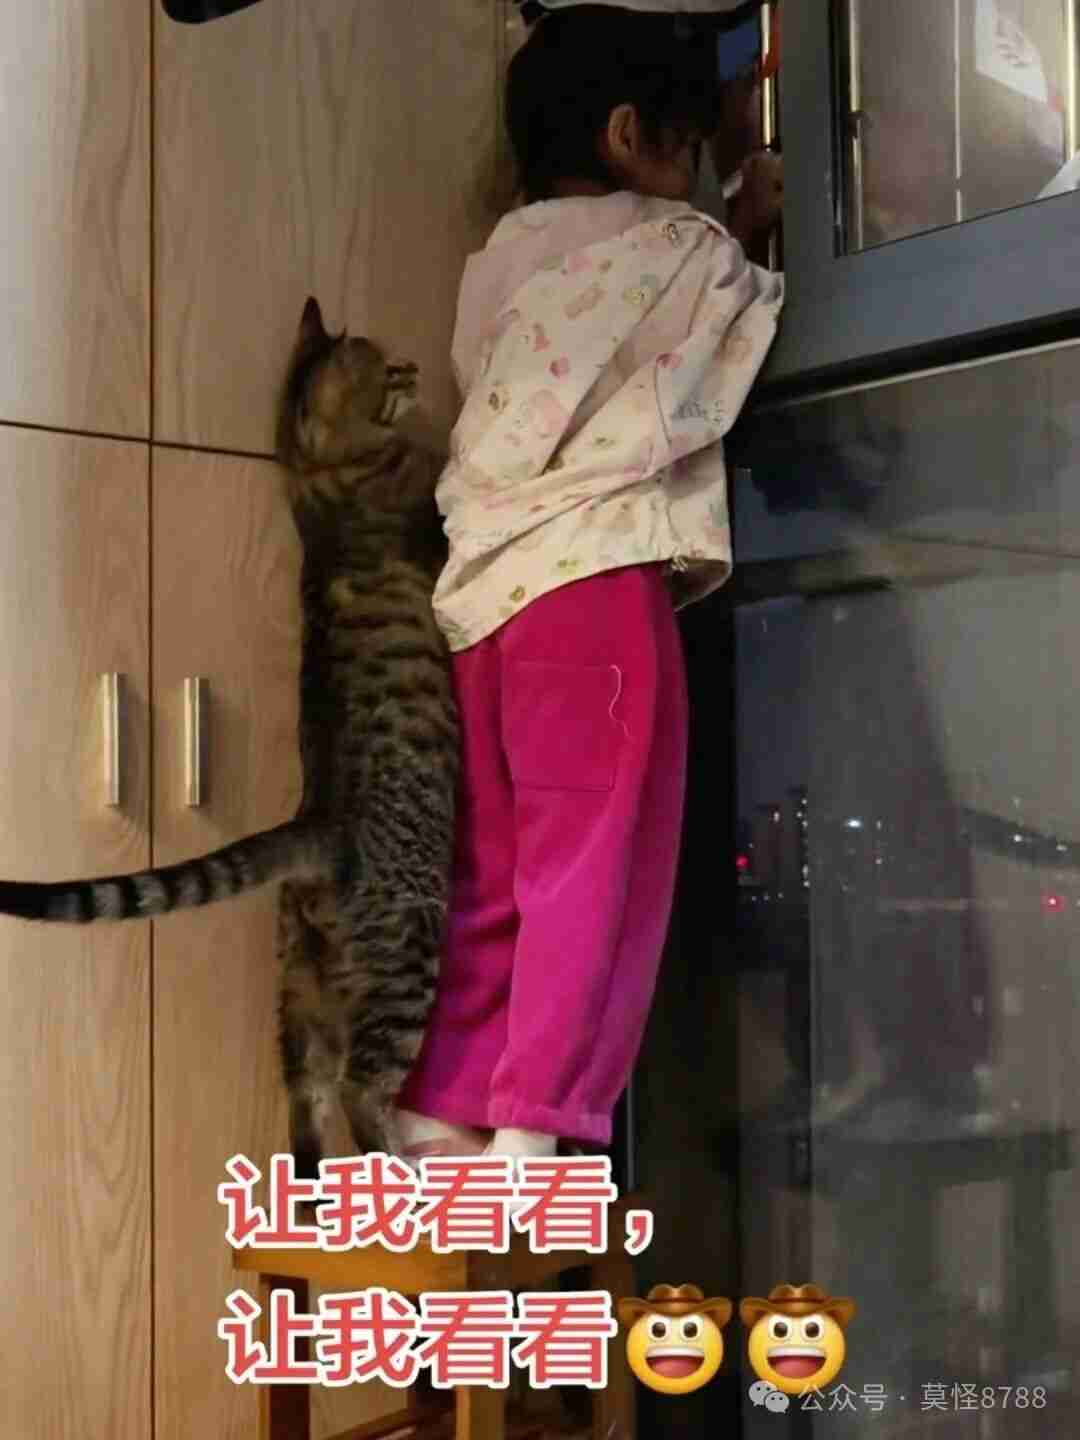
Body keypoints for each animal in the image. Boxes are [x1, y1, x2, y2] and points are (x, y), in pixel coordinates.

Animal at [0, 297, 459, 1169]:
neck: (315, 478)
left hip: (298, 987)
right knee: (358, 1088)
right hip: (407, 957)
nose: (417, 368)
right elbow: (450, 488)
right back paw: (409, 1170)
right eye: (386, 372)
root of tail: (314, 824)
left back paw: (312, 1191)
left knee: (306, 1096)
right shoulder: (427, 514)